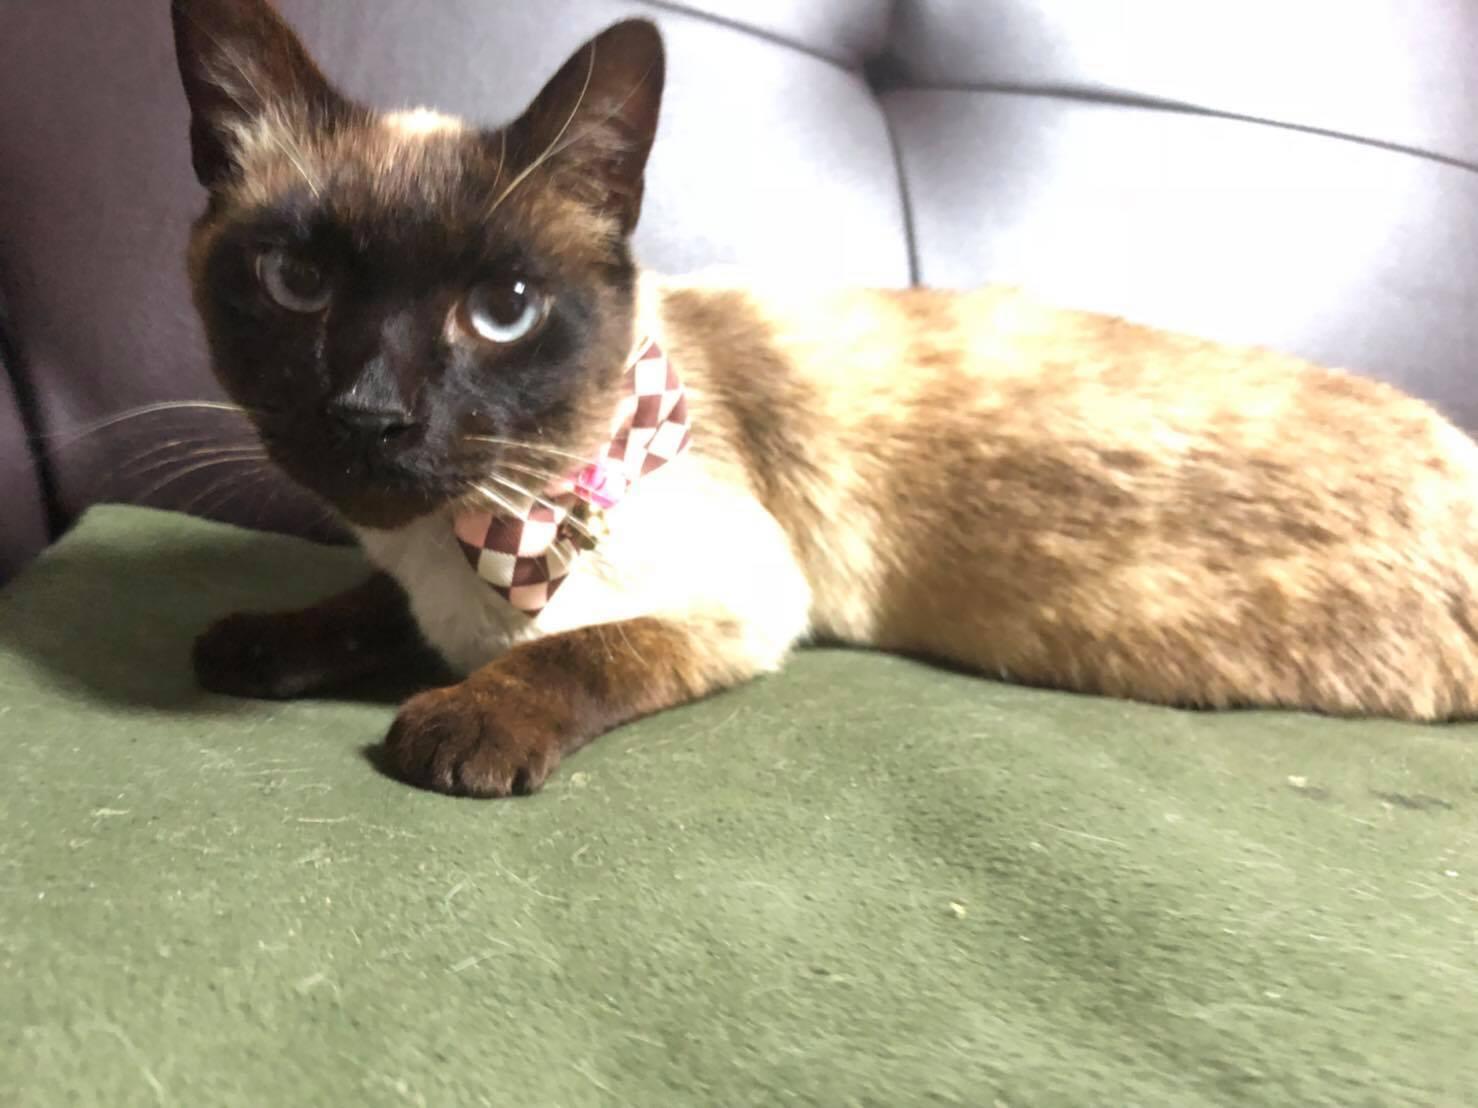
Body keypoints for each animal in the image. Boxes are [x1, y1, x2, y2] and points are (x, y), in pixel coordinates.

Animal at [175, 0, 1478, 798]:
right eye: (296, 284)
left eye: (501, 310)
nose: (369, 414)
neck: (471, 538)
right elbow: (359, 606)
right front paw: (259, 643)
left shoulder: (743, 602)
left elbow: (580, 652)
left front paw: (456, 729)